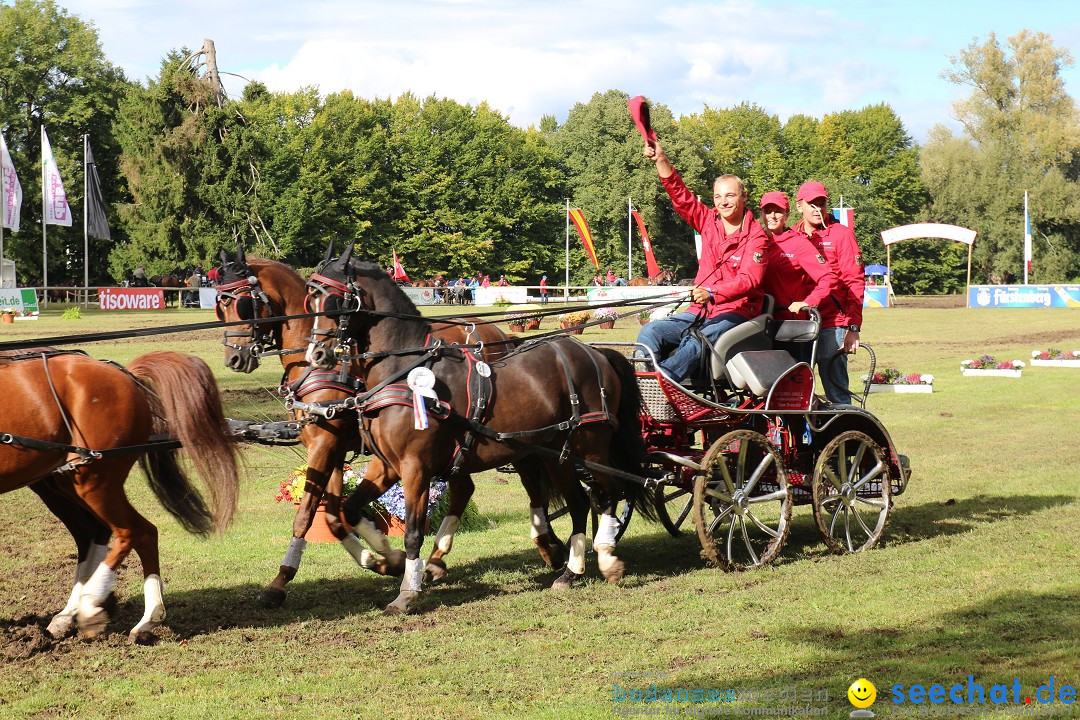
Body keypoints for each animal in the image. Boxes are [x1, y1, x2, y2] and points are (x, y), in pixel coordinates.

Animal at [0, 349, 240, 643]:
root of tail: (124, 373)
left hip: (95, 481)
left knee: (136, 531)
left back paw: (98, 606)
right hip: (63, 481)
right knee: (98, 532)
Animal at [210, 246, 565, 608]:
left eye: (241, 303)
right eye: (220, 303)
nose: (234, 359)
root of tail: (499, 335)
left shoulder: (327, 446)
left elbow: (309, 514)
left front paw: (282, 581)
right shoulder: (329, 448)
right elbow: (334, 516)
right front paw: (382, 559)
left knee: (528, 478)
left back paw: (548, 546)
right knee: (465, 489)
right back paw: (437, 561)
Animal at [306, 248, 656, 613]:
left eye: (335, 300)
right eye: (310, 298)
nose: (317, 354)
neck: (403, 370)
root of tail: (594, 353)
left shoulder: (415, 467)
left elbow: (414, 531)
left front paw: (406, 592)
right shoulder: (387, 464)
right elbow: (350, 509)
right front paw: (388, 559)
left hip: (591, 447)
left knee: (611, 492)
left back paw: (605, 557)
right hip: (559, 454)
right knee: (580, 503)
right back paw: (569, 572)